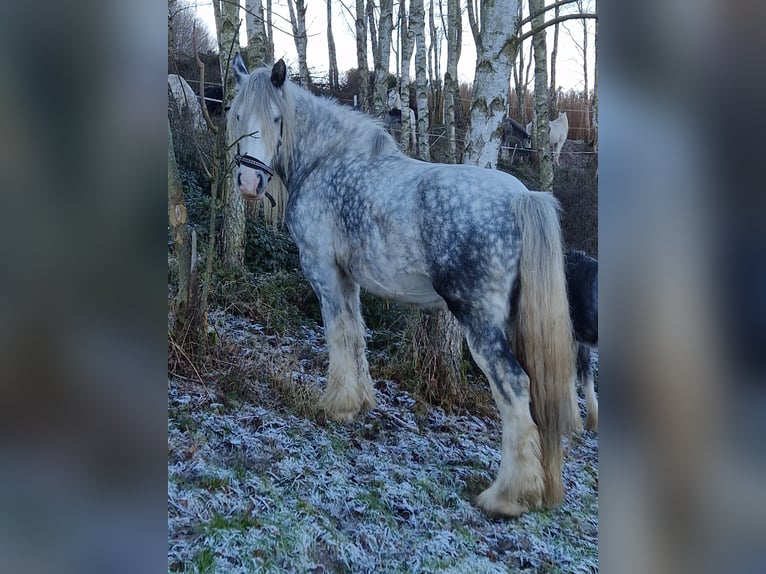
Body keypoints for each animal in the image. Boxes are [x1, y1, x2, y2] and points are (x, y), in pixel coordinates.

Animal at [228, 54, 576, 518]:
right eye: (237, 115)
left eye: (276, 119)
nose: (249, 184)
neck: (325, 162)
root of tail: (523, 197)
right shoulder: (348, 278)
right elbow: (356, 334)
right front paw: (358, 402)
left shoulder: (324, 272)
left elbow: (338, 334)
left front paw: (335, 405)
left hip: (481, 324)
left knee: (515, 388)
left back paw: (506, 495)